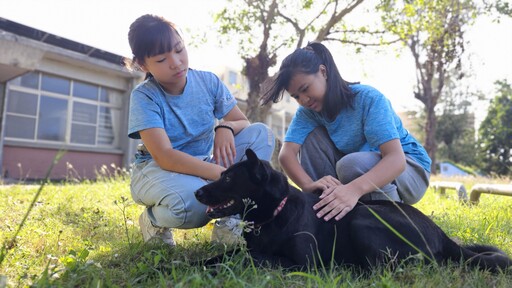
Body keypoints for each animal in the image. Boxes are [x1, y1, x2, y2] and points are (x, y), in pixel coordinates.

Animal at [194, 148, 510, 272]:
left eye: (228, 179)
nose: (197, 192)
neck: (275, 213)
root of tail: (441, 235)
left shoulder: (303, 264)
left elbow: (255, 257)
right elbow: (223, 256)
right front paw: (192, 264)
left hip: (361, 217)